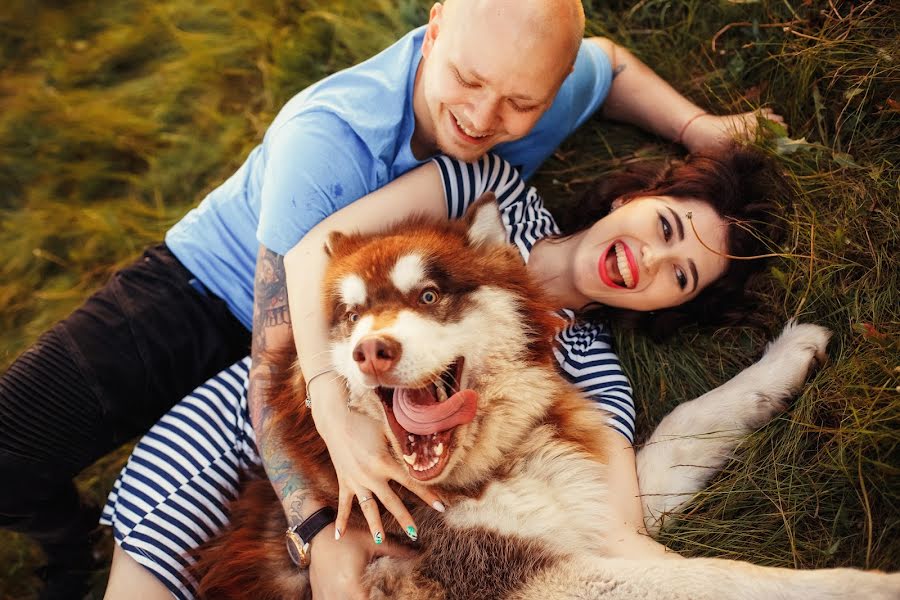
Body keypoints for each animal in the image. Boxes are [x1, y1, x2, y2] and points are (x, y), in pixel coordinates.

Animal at [197, 198, 900, 600]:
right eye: (349, 317)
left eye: (428, 295)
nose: (373, 351)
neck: (490, 467)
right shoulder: (526, 576)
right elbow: (719, 576)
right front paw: (871, 584)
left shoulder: (601, 506)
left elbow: (686, 421)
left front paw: (786, 358)